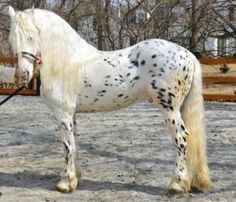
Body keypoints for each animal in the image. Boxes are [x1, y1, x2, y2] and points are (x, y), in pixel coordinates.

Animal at [6, 7, 212, 195]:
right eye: (13, 40)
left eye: (31, 36)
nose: (22, 75)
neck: (68, 62)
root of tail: (188, 54)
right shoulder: (72, 114)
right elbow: (75, 144)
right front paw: (76, 179)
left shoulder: (62, 114)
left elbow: (67, 147)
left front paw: (65, 183)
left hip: (169, 109)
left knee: (182, 138)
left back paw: (177, 185)